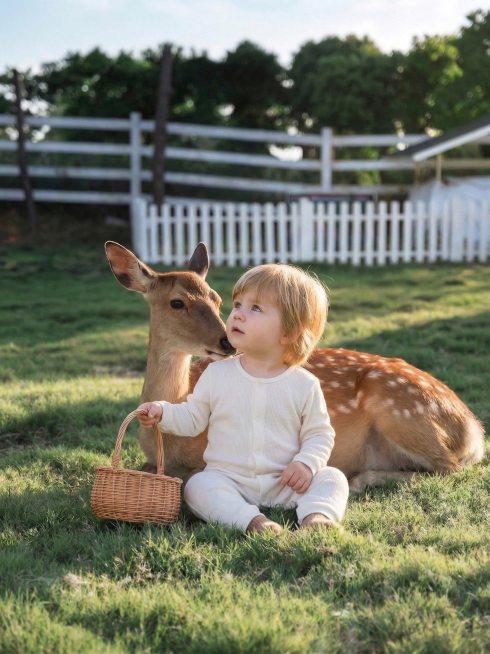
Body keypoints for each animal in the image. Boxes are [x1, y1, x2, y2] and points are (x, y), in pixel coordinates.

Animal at [105, 240, 485, 493]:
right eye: (176, 302)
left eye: (215, 298)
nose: (226, 342)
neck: (170, 442)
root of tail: (474, 430)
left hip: (397, 408)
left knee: (449, 467)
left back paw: (360, 478)